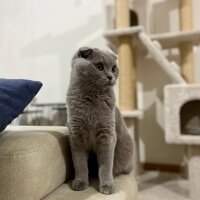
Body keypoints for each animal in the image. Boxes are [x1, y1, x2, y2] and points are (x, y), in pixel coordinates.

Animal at [66, 46, 134, 194]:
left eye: (113, 68)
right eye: (99, 67)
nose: (110, 77)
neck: (91, 98)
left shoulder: (107, 134)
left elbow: (106, 164)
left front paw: (107, 186)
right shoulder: (76, 135)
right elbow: (79, 162)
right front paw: (80, 183)